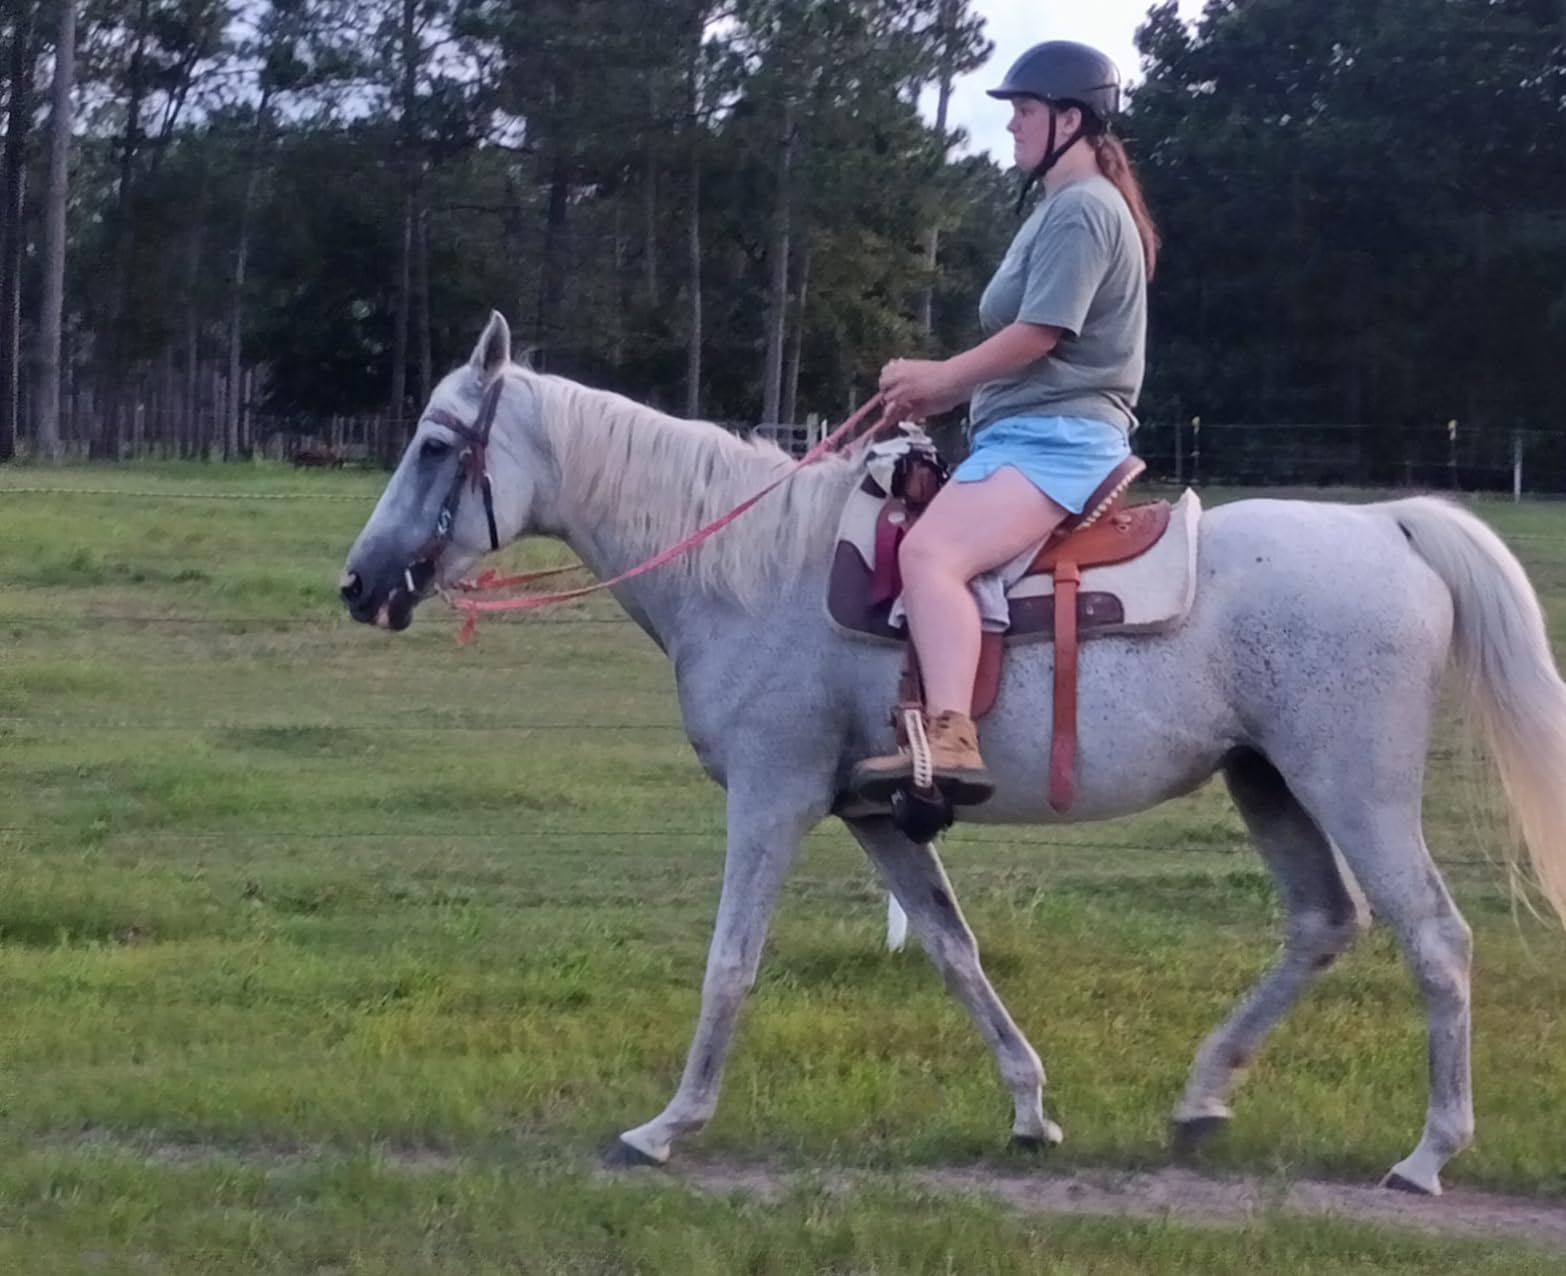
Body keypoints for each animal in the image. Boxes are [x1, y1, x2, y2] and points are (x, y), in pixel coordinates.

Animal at [340, 312, 1566, 1197]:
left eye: (436, 445)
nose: (359, 584)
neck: (751, 569)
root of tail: (1386, 526)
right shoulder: (878, 816)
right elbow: (954, 952)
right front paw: (1030, 1111)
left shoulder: (772, 798)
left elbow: (731, 962)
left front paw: (665, 1127)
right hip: (1268, 781)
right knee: (1322, 923)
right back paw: (1201, 1101)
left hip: (1353, 787)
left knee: (1435, 939)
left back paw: (1427, 1154)